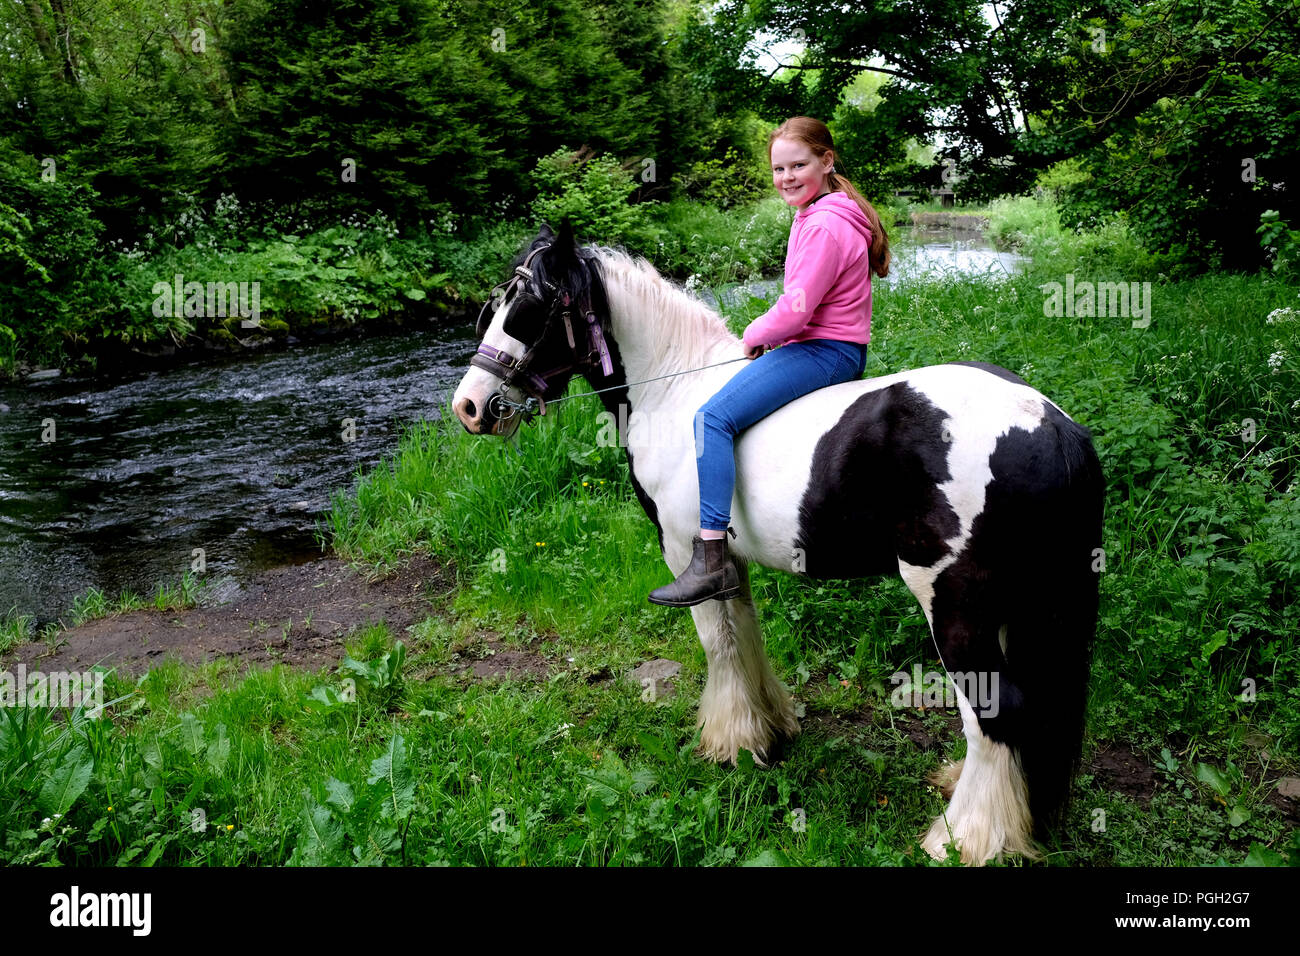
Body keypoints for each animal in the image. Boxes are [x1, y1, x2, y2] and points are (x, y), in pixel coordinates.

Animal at [452, 226, 1102, 868]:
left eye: (528, 308)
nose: (471, 406)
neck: (676, 392)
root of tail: (1053, 426)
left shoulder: (682, 552)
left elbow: (718, 645)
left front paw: (728, 743)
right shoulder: (724, 560)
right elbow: (744, 637)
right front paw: (767, 729)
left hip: (956, 607)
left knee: (995, 713)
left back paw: (965, 838)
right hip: (1011, 608)